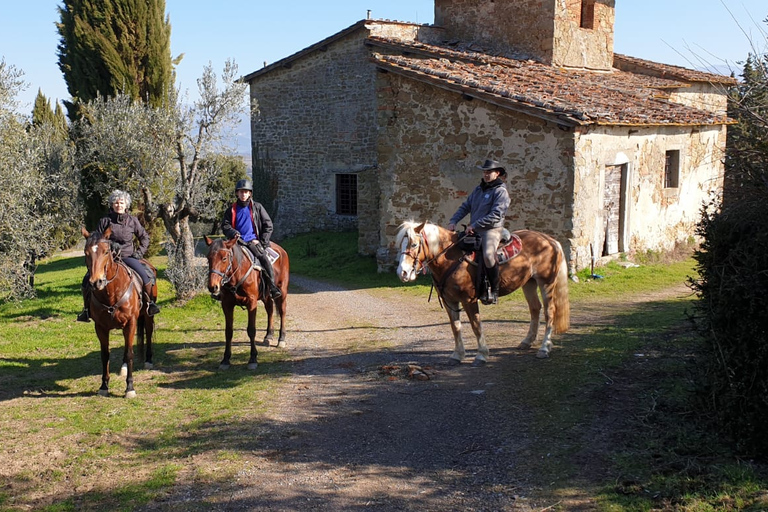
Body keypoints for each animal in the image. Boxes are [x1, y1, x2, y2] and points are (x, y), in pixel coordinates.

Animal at [81, 227, 157, 398]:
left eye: (106, 251)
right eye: (86, 253)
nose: (96, 282)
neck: (111, 293)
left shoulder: (131, 323)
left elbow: (129, 354)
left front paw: (130, 388)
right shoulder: (100, 327)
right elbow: (105, 355)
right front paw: (104, 386)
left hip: (148, 315)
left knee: (148, 332)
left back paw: (149, 360)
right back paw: (124, 367)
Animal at [204, 236, 289, 370]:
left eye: (224, 258)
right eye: (208, 258)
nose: (213, 287)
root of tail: (282, 250)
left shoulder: (251, 303)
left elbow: (251, 330)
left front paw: (253, 358)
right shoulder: (226, 304)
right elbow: (228, 332)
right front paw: (225, 359)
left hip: (283, 291)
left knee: (282, 312)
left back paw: (281, 339)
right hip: (266, 296)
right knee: (270, 310)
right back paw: (268, 336)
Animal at [396, 221, 570, 364]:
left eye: (414, 244)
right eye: (400, 245)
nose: (402, 273)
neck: (451, 258)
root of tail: (550, 240)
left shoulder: (469, 300)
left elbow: (476, 325)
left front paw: (481, 355)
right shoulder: (450, 301)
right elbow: (456, 327)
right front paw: (457, 355)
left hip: (546, 283)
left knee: (549, 312)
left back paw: (544, 348)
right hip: (529, 283)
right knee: (535, 308)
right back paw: (527, 342)